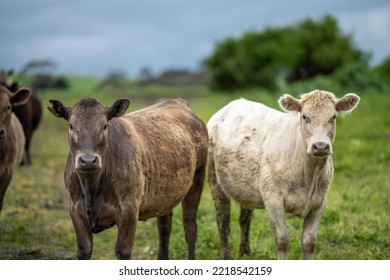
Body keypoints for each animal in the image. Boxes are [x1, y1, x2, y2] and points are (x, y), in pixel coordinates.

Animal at [48, 97, 209, 260]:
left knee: (190, 227)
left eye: (105, 126)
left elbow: (122, 251)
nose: (88, 160)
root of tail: (177, 101)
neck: (90, 187)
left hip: (198, 178)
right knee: (164, 227)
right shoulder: (75, 209)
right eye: (71, 126)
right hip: (165, 195)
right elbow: (84, 250)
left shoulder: (129, 209)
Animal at [207, 90, 360, 260]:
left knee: (244, 217)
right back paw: (226, 255)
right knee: (223, 219)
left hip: (245, 186)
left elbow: (309, 242)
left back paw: (245, 252)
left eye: (333, 116)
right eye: (304, 116)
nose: (320, 146)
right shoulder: (273, 200)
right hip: (214, 178)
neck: (308, 175)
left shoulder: (320, 202)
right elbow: (282, 241)